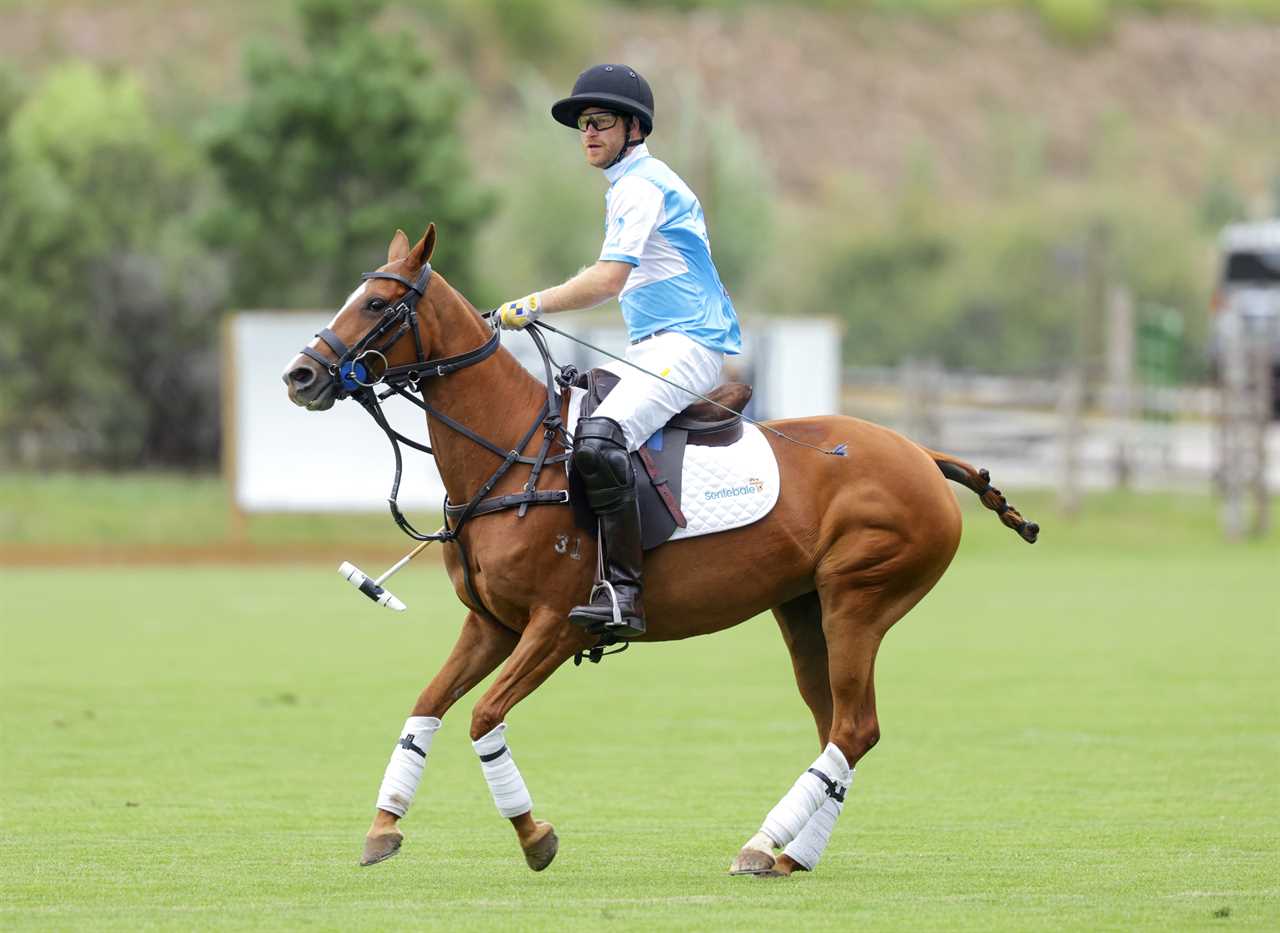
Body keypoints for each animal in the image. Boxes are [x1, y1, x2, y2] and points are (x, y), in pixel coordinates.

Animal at [282, 223, 1039, 875]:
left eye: (377, 303)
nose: (300, 375)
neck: (513, 455)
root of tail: (924, 454)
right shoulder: (491, 623)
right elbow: (427, 707)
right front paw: (384, 827)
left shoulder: (556, 624)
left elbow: (483, 715)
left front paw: (534, 835)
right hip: (804, 609)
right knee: (840, 727)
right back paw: (792, 853)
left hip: (860, 598)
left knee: (854, 727)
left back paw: (762, 844)